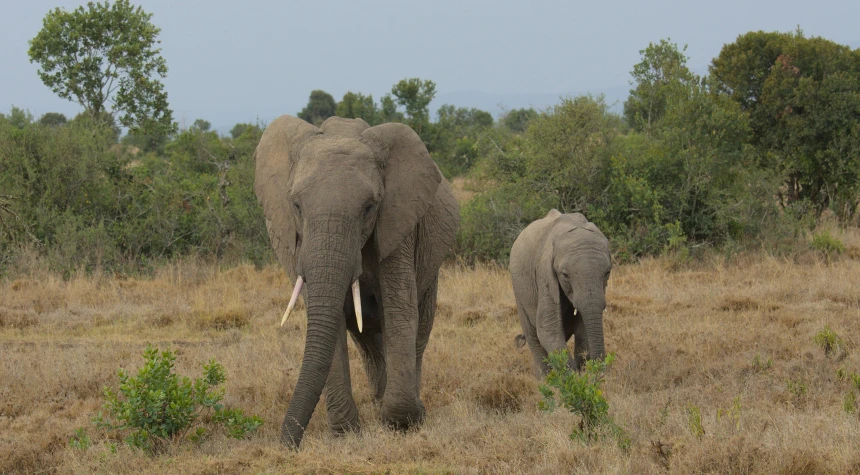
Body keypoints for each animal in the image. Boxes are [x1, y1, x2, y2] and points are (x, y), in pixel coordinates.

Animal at [254, 114, 456, 450]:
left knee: (418, 326)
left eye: (369, 207)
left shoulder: (398, 225)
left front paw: (405, 421)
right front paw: (346, 434)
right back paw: (377, 399)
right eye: (296, 206)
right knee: (366, 339)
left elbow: (400, 312)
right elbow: (329, 320)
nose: (287, 446)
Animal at [510, 210, 612, 378]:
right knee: (532, 334)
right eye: (565, 275)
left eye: (607, 273)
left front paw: (581, 372)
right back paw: (545, 378)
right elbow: (547, 328)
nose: (599, 372)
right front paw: (573, 376)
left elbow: (583, 328)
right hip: (518, 288)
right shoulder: (544, 275)